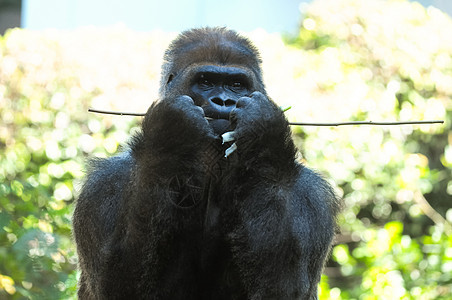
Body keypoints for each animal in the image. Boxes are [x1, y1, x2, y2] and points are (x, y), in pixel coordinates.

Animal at [72, 27, 340, 298]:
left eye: (236, 85)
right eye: (205, 81)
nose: (223, 101)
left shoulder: (311, 193)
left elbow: (285, 288)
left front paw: (263, 132)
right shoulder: (104, 184)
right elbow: (117, 282)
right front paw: (170, 136)